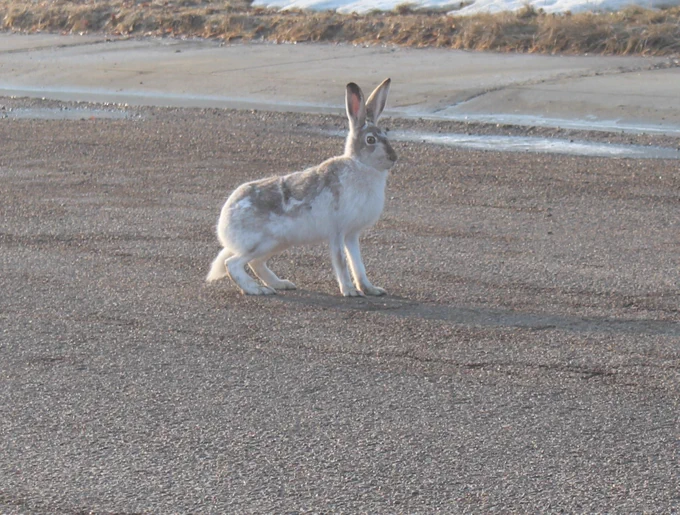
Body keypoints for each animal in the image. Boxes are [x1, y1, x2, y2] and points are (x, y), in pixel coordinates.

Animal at [206, 78, 397, 296]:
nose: (394, 158)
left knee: (256, 263)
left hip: (278, 243)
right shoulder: (337, 232)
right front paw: (349, 291)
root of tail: (223, 223)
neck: (361, 165)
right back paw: (257, 289)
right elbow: (341, 261)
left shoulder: (351, 234)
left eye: (386, 134)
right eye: (371, 140)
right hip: (260, 243)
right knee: (233, 264)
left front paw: (370, 289)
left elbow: (358, 263)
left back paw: (280, 284)